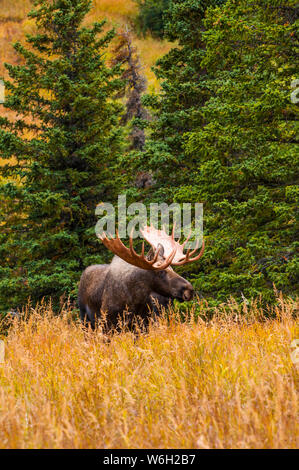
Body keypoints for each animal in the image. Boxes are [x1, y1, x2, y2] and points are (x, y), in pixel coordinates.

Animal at [77, 225, 205, 328]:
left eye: (172, 269)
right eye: (160, 271)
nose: (189, 289)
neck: (134, 301)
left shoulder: (143, 324)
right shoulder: (107, 324)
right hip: (85, 320)